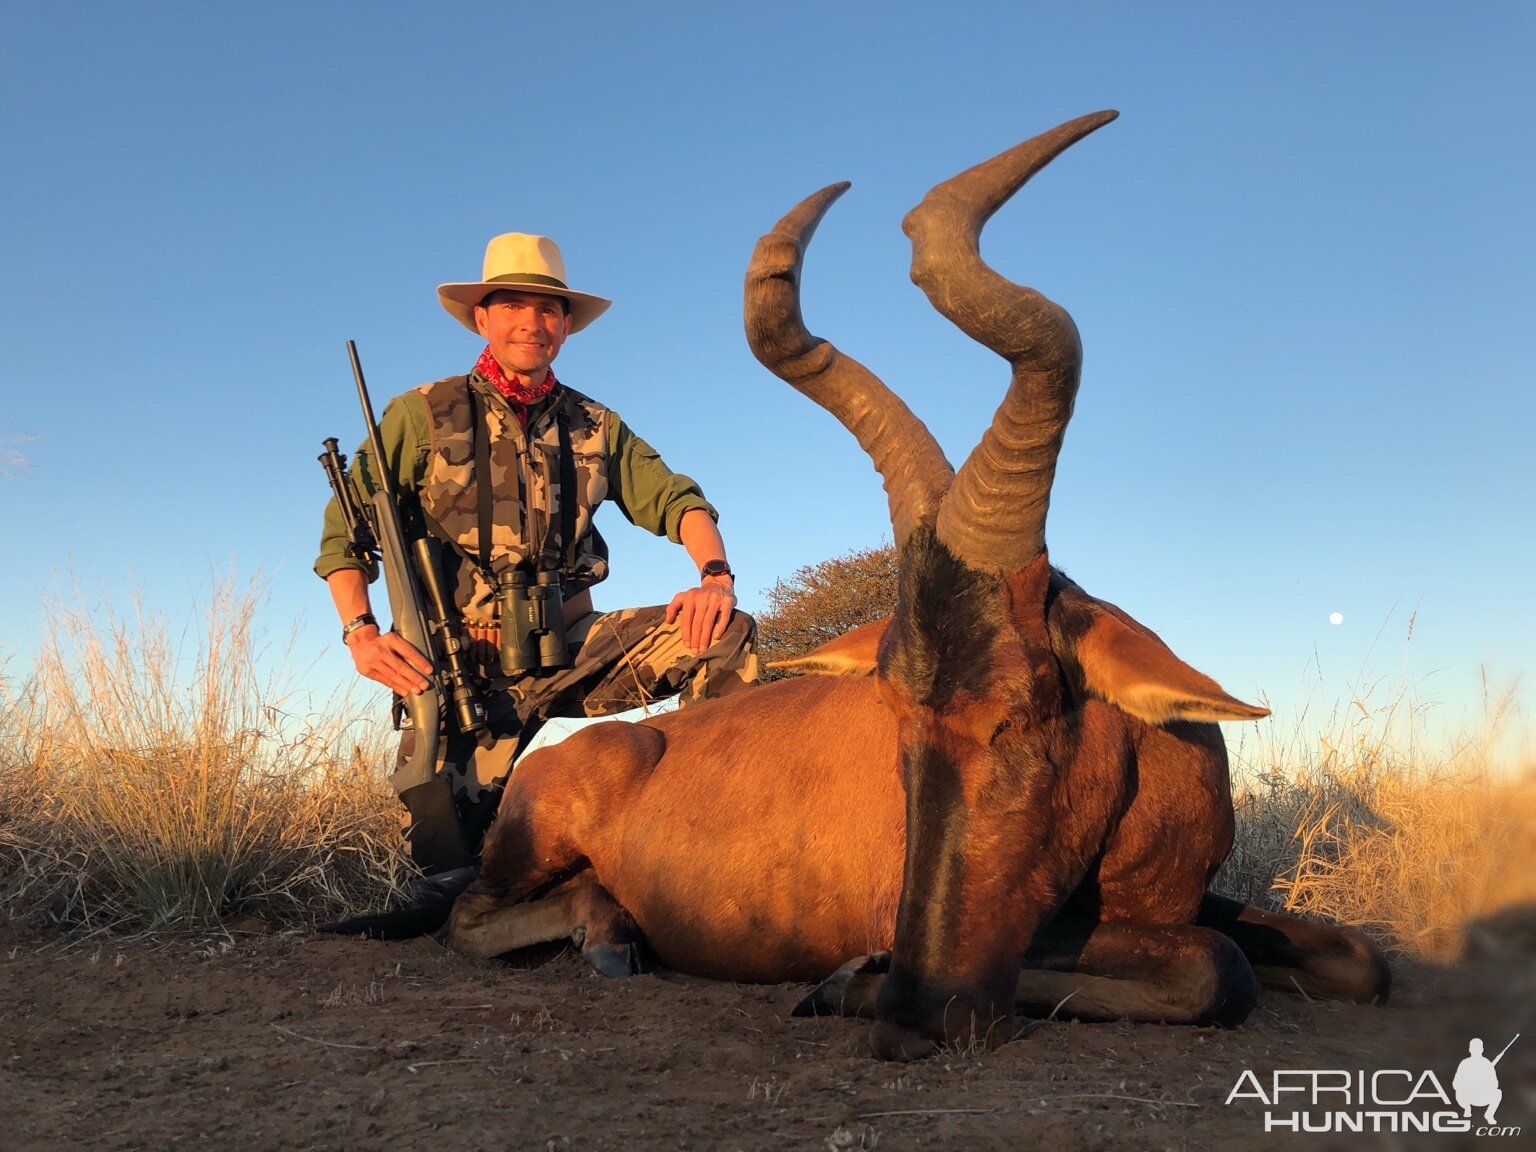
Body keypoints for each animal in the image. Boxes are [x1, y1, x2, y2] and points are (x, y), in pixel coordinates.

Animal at [436, 110, 1394, 1062]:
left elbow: (1355, 959)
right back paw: (609, 935)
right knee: (468, 917)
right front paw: (844, 979)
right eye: (895, 710)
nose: (916, 1008)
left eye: (1025, 706)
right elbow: (1212, 966)